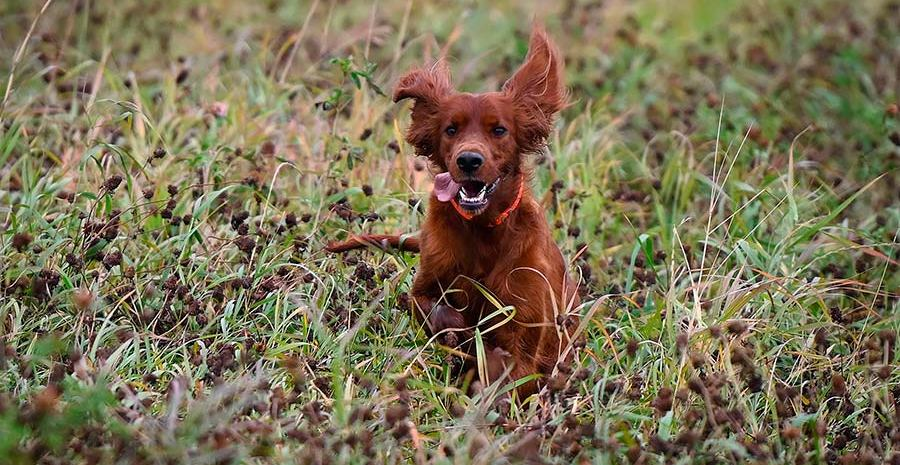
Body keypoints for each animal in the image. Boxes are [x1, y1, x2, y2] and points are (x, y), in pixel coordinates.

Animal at [326, 24, 580, 396]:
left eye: (499, 129)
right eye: (451, 129)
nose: (469, 160)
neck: (483, 229)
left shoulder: (524, 324)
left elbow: (507, 365)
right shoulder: (428, 283)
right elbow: (432, 308)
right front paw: (459, 333)